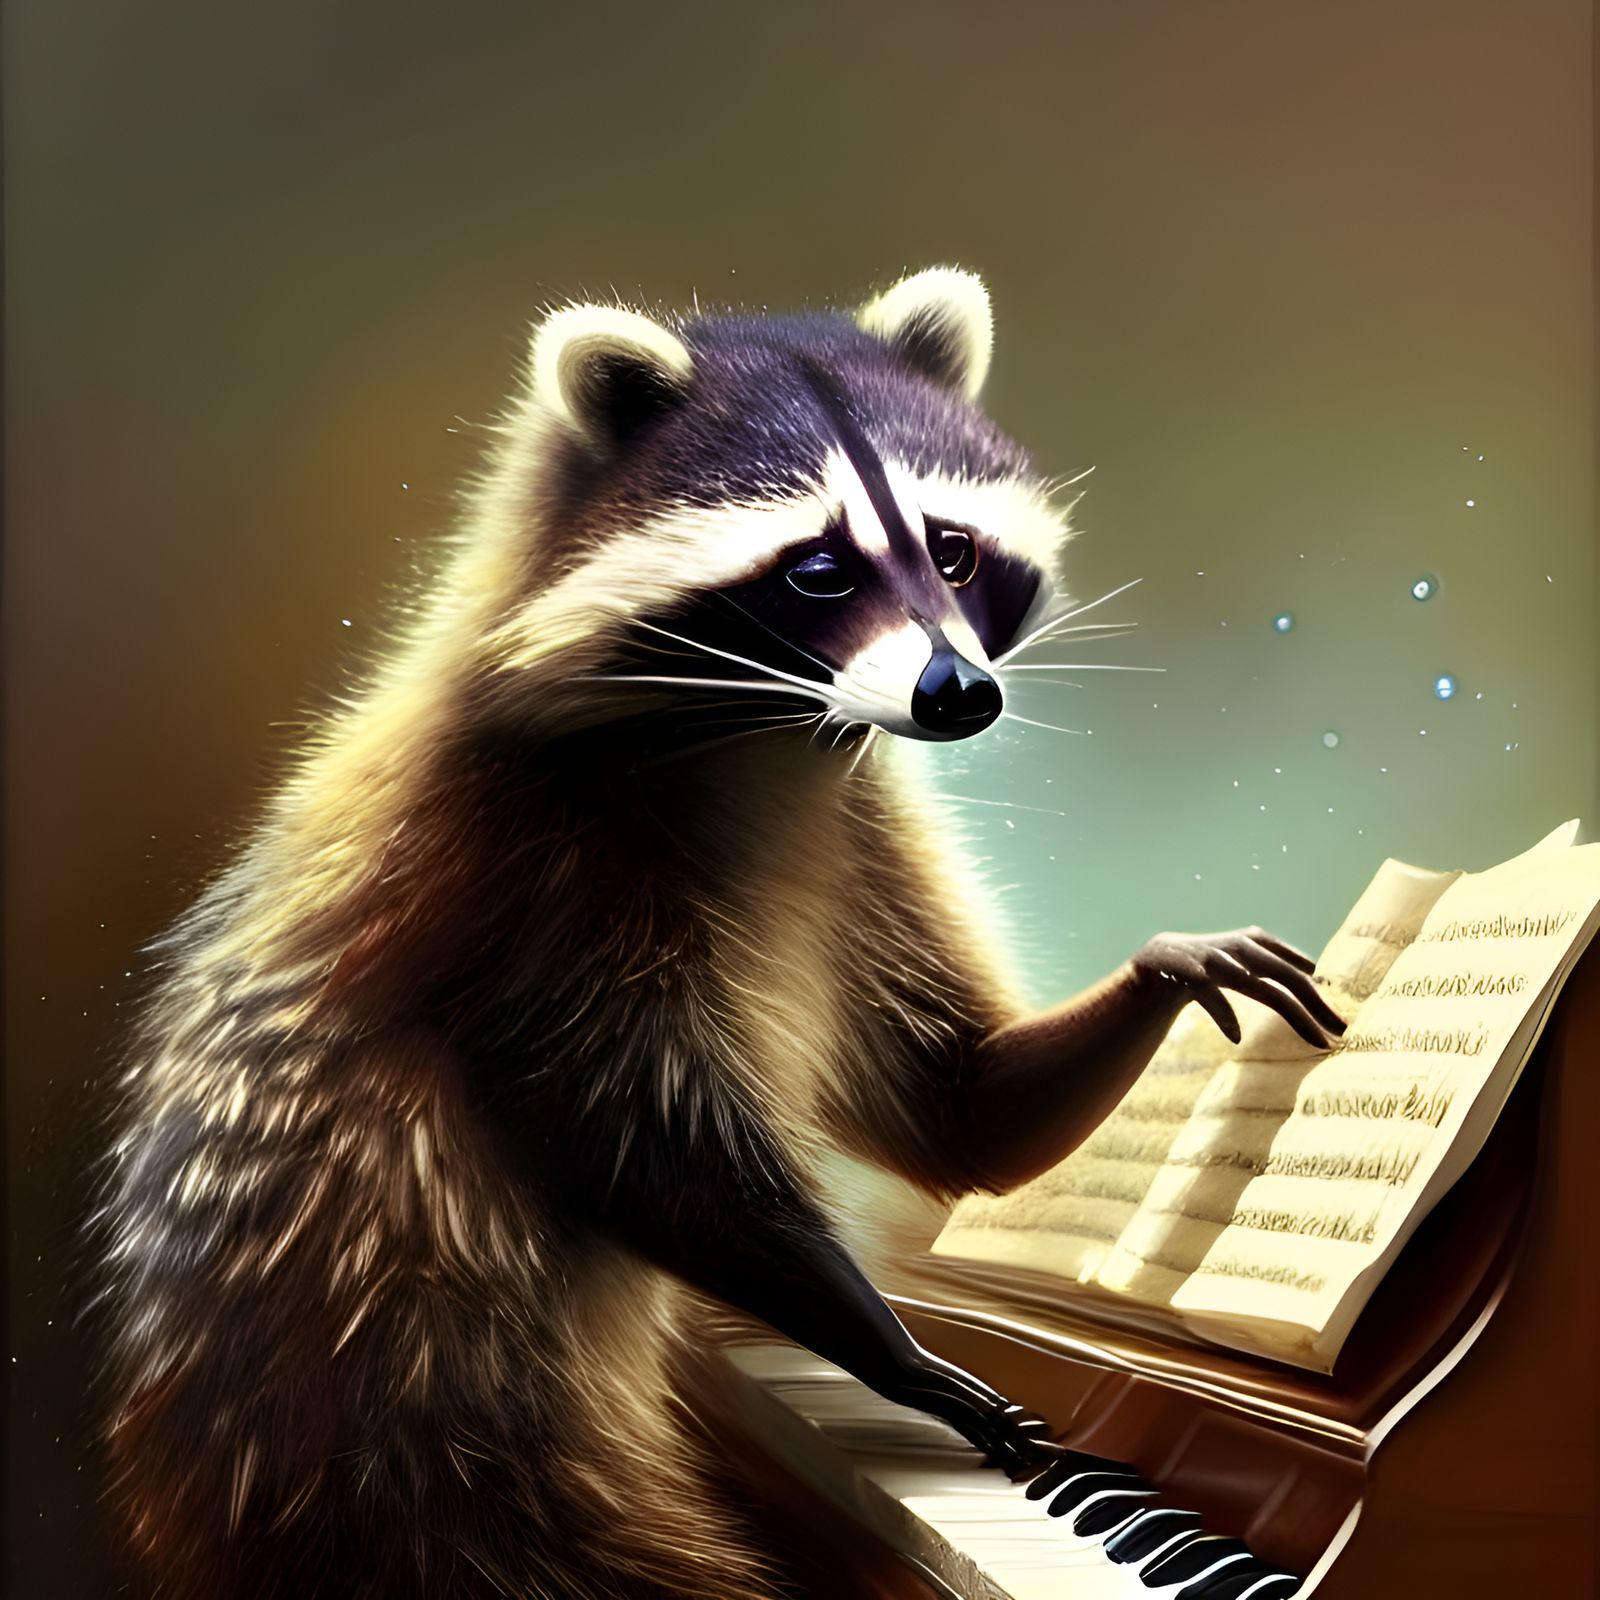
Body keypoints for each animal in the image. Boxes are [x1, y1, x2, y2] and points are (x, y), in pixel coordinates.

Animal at [97, 268, 1343, 1599]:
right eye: (818, 569)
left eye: (951, 548)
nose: (960, 694)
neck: (758, 727)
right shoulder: (526, 860)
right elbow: (636, 1138)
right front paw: (886, 1346)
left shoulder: (860, 824)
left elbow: (959, 1106)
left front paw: (1169, 959)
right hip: (408, 1420)